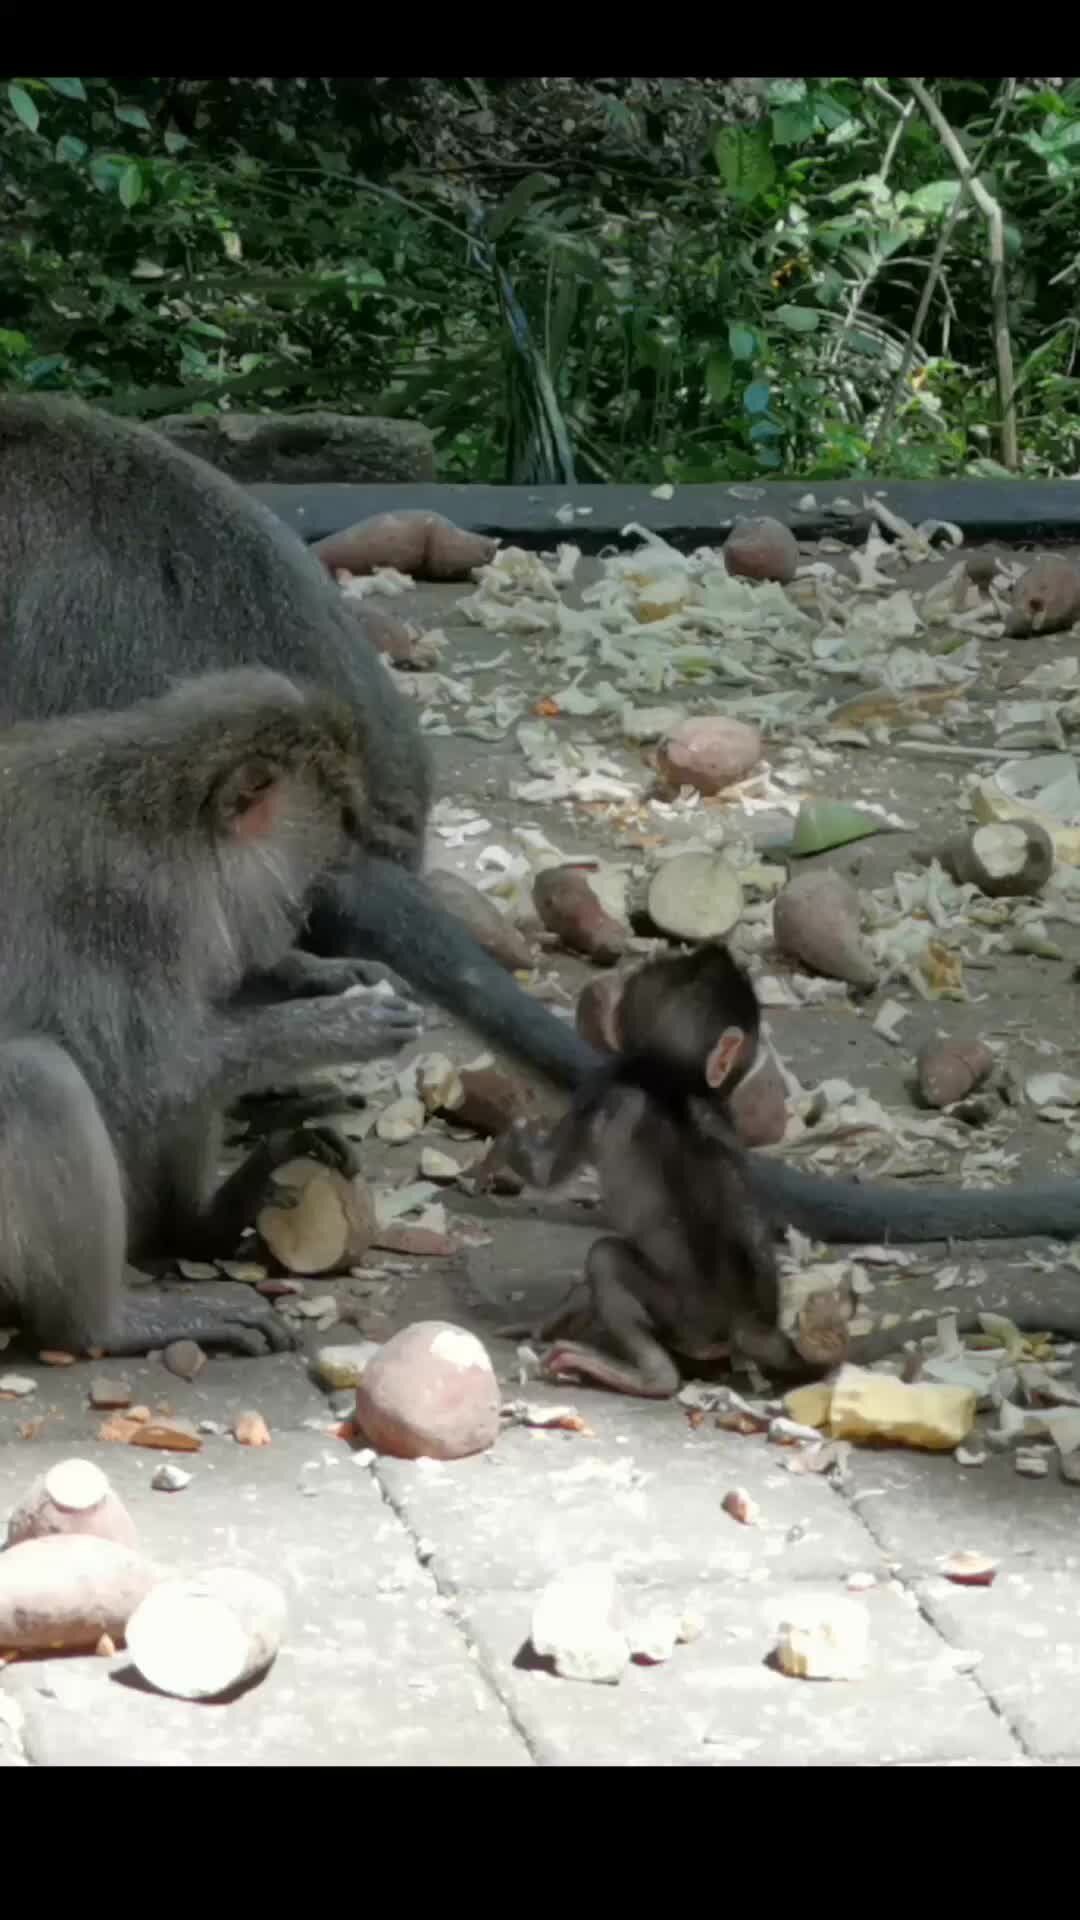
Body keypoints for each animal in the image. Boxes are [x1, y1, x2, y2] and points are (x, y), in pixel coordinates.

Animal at [0, 668, 420, 1359]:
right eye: (312, 874)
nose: (295, 917)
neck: (176, 825)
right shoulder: (140, 911)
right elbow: (152, 1077)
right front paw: (334, 1026)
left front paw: (316, 974)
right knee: (36, 1078)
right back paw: (102, 1325)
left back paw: (199, 1225)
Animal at [491, 940, 845, 1397]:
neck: (676, 1078)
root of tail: (744, 1324)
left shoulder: (606, 1083)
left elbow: (543, 1169)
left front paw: (505, 1143)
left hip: (682, 1317)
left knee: (606, 1257)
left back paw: (647, 1375)